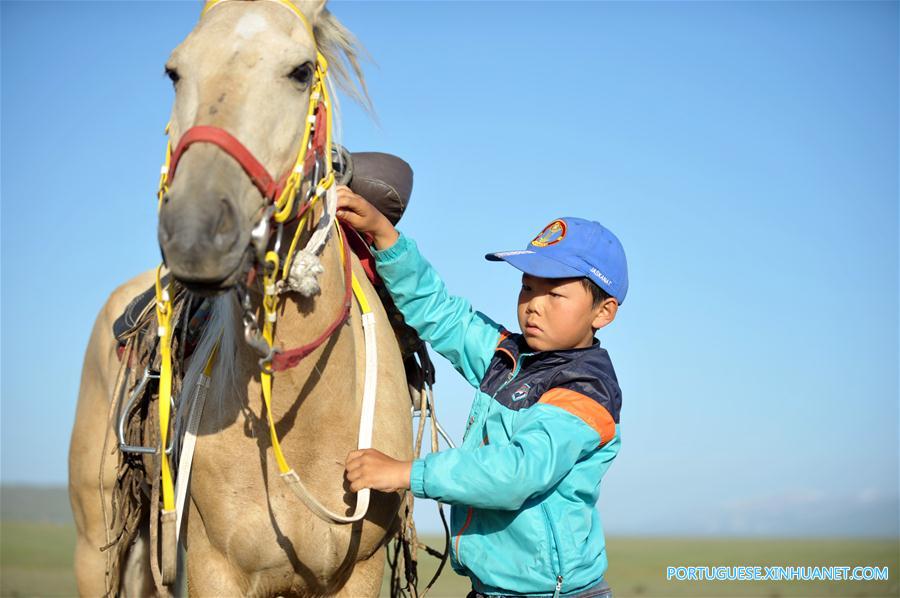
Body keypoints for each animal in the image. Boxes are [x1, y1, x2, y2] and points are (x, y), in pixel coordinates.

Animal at [69, 2, 414, 596]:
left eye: (301, 71)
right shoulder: (215, 570)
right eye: (174, 72)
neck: (303, 424)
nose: (196, 231)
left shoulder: (359, 573)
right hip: (96, 547)